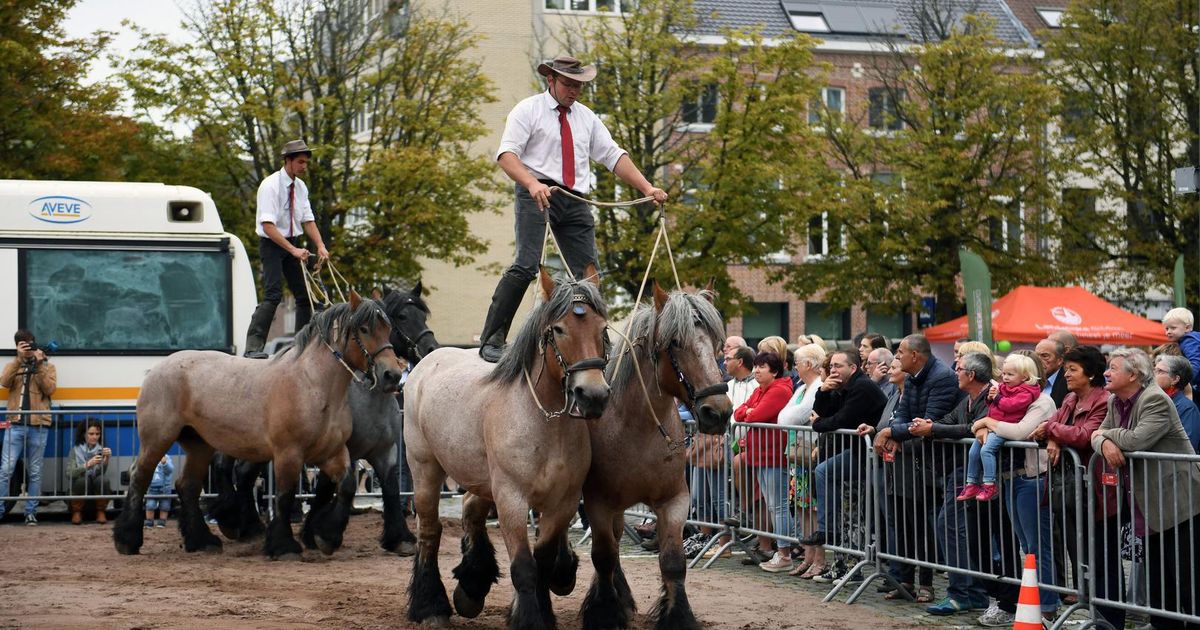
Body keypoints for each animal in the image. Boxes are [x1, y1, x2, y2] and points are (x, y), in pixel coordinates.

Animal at [112, 292, 403, 556]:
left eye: (389, 328)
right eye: (364, 329)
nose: (393, 375)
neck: (312, 385)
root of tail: (158, 368)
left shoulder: (332, 453)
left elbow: (346, 487)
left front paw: (326, 537)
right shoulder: (288, 454)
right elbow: (285, 497)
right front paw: (284, 546)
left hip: (199, 444)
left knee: (189, 486)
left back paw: (203, 541)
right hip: (157, 438)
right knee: (140, 476)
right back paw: (127, 540)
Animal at [208, 282, 439, 552]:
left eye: (423, 315)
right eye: (401, 317)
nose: (431, 349)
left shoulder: (385, 452)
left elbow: (390, 489)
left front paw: (400, 538)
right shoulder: (335, 451)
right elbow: (327, 491)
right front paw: (320, 533)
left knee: (244, 474)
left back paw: (251, 527)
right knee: (224, 466)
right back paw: (233, 521)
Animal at [403, 266, 609, 628]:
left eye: (603, 328)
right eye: (559, 329)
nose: (593, 395)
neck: (544, 420)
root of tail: (428, 360)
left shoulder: (563, 502)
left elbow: (542, 562)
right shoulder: (512, 498)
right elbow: (524, 568)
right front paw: (529, 619)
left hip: (480, 479)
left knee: (470, 509)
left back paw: (472, 584)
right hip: (425, 469)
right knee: (429, 531)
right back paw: (430, 606)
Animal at [580, 283, 729, 628]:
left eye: (716, 342)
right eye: (675, 343)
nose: (718, 413)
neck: (638, 428)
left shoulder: (674, 500)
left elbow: (673, 562)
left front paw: (678, 616)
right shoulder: (598, 502)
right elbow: (602, 556)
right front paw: (604, 612)